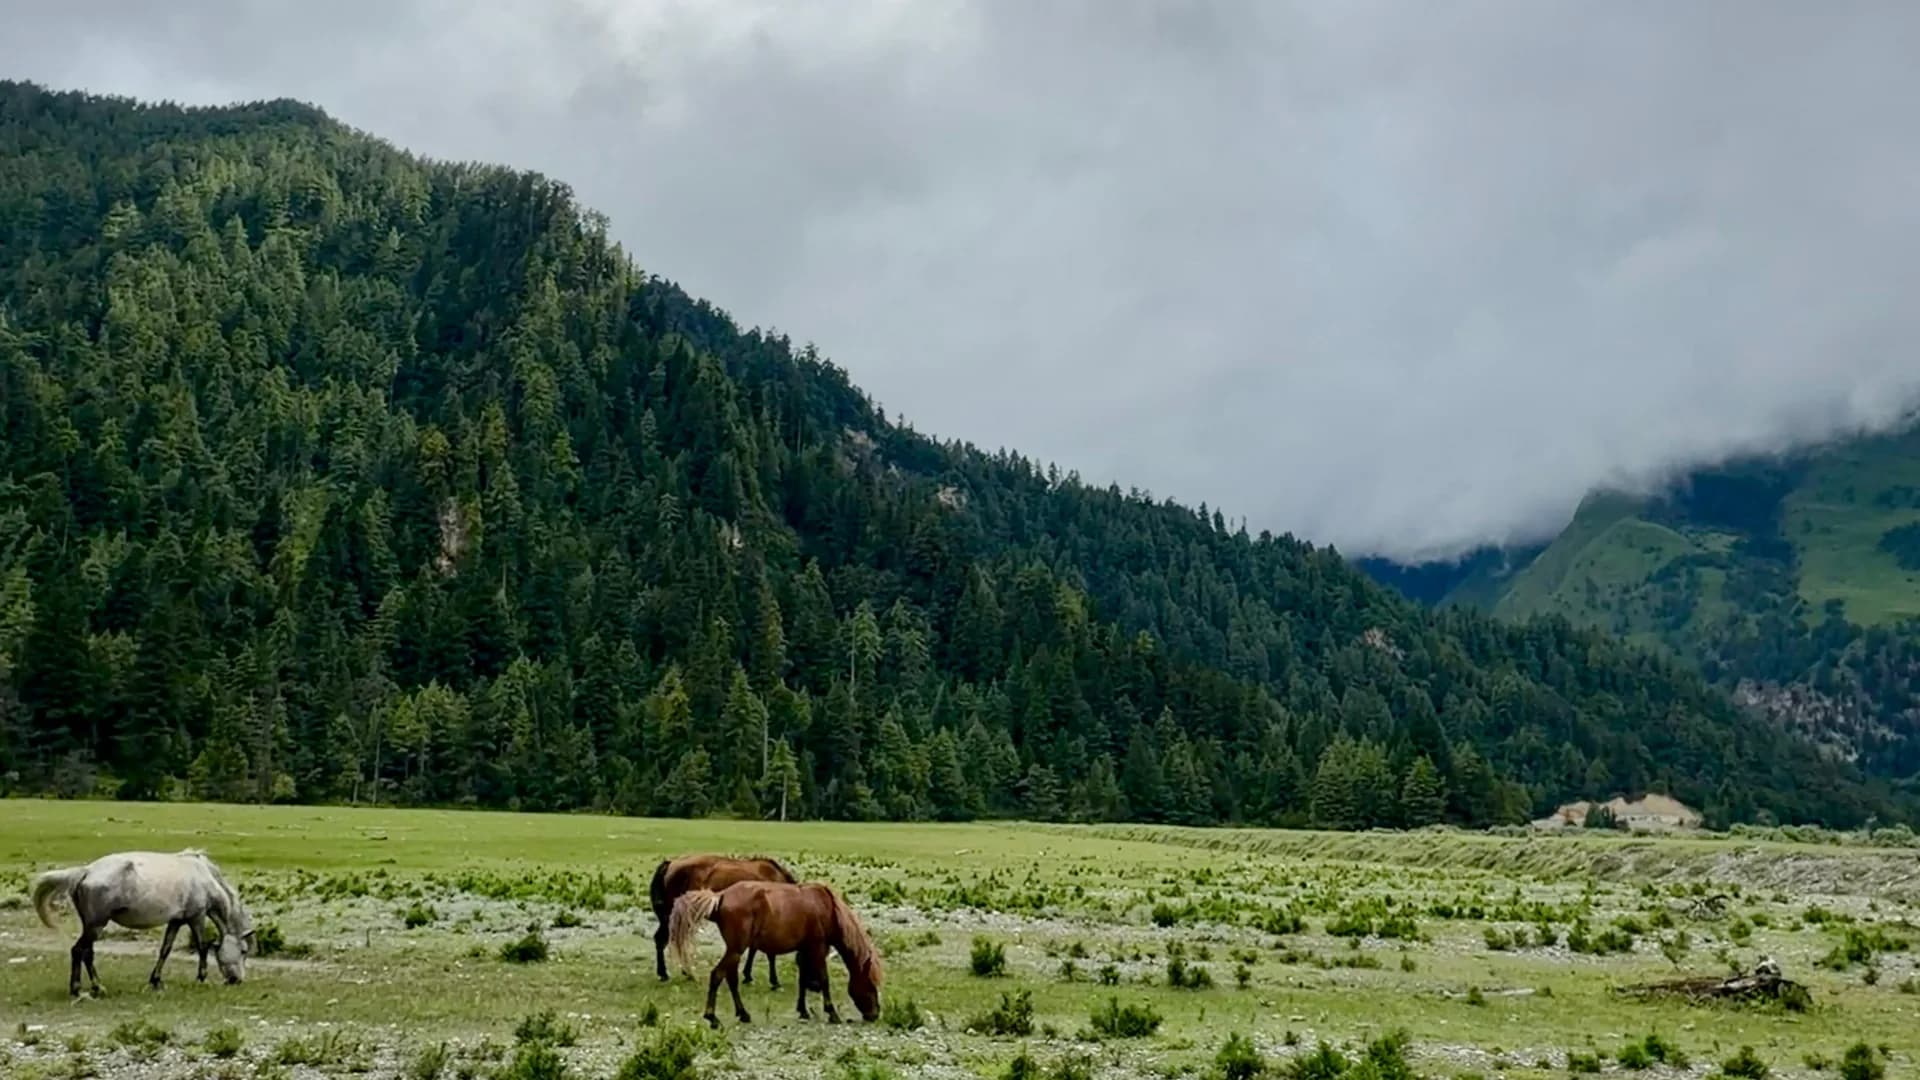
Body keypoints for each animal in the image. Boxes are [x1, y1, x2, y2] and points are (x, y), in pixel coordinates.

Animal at [29, 848, 256, 998]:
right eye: (244, 951)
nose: (236, 980)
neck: (203, 875)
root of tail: (86, 871)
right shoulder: (197, 917)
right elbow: (202, 946)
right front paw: (202, 978)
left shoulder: (176, 921)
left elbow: (165, 949)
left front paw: (156, 981)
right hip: (96, 926)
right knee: (79, 951)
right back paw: (85, 988)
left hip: (91, 926)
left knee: (85, 953)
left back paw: (89, 987)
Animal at [649, 854, 797, 987]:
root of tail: (670, 864)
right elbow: (769, 953)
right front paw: (774, 981)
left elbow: (753, 949)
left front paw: (748, 975)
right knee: (663, 940)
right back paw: (667, 974)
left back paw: (682, 972)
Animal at [667, 879, 882, 1029]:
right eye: (871, 985)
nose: (875, 1014)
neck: (827, 908)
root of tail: (721, 897)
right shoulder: (818, 948)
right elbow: (823, 979)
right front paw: (832, 1013)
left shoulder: (804, 949)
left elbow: (803, 979)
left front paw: (803, 1011)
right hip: (736, 949)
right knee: (717, 976)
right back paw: (712, 1018)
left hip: (735, 951)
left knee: (731, 979)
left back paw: (743, 1014)